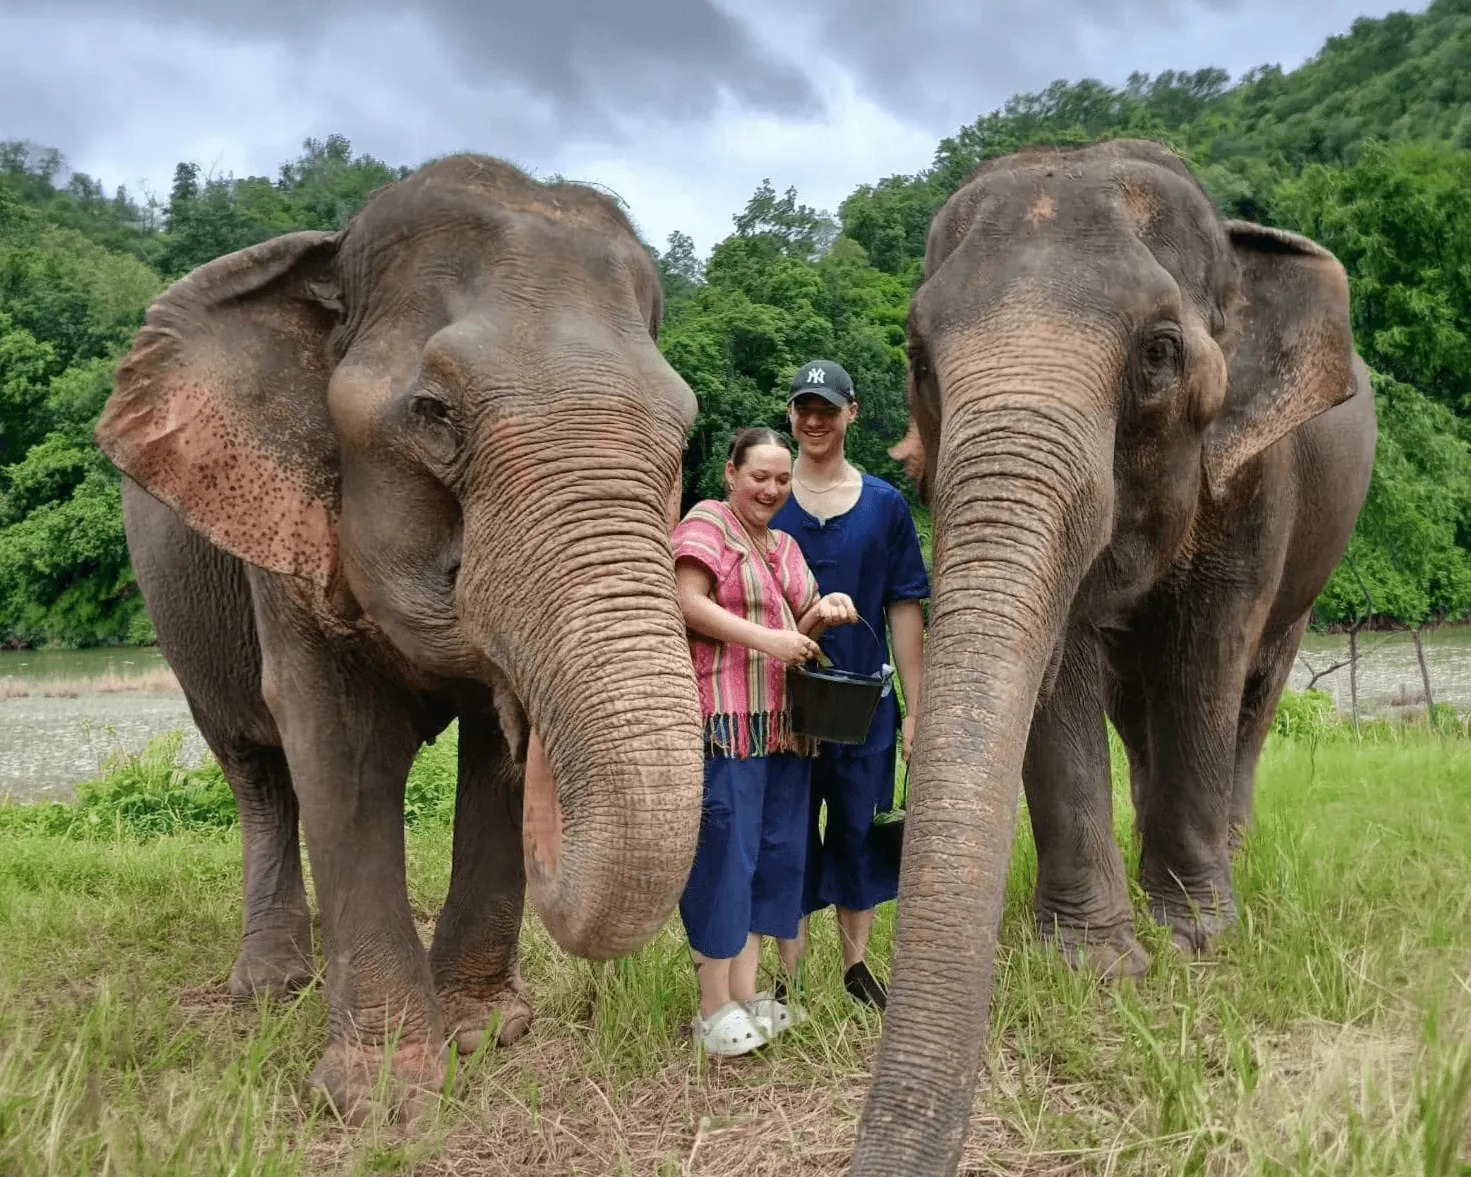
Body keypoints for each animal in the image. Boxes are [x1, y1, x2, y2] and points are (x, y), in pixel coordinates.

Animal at [92, 155, 705, 1123]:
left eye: (684, 433)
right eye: (435, 413)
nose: (553, 797)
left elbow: (490, 757)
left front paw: (486, 1033)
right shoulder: (284, 535)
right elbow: (340, 746)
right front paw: (383, 1095)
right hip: (180, 620)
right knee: (255, 771)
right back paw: (271, 986)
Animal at [848, 138, 1377, 1176]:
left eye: (1158, 354)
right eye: (919, 360)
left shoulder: (1259, 479)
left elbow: (1205, 659)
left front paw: (1195, 940)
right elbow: (1067, 675)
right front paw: (1095, 966)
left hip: (1314, 571)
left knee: (1253, 687)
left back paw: (1229, 853)